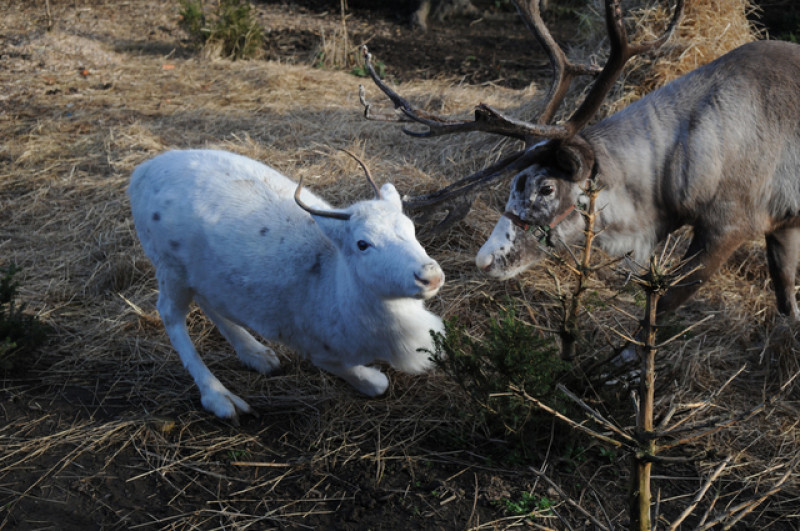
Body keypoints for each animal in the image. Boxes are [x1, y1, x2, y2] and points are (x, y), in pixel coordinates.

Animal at [128, 149, 445, 421]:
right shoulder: (316, 347)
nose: (430, 275)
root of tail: (140, 173)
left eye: (411, 228)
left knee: (208, 301)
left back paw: (256, 354)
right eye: (362, 244)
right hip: (169, 266)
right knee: (170, 314)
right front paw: (373, 379)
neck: (331, 282)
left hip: (199, 272)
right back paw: (220, 398)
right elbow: (376, 383)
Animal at [360, 0, 800, 322]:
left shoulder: (730, 225)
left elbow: (657, 313)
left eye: (546, 187)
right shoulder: (784, 223)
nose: (484, 260)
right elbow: (786, 300)